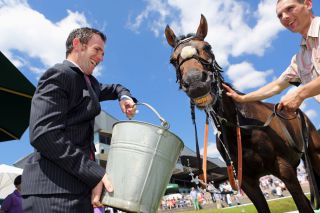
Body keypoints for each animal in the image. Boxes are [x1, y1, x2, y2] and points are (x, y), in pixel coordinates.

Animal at [166, 14, 320, 212]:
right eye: (172, 60)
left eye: (207, 47)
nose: (196, 83)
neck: (239, 126)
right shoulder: (247, 181)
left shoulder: (285, 170)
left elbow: (303, 204)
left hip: (315, 155)